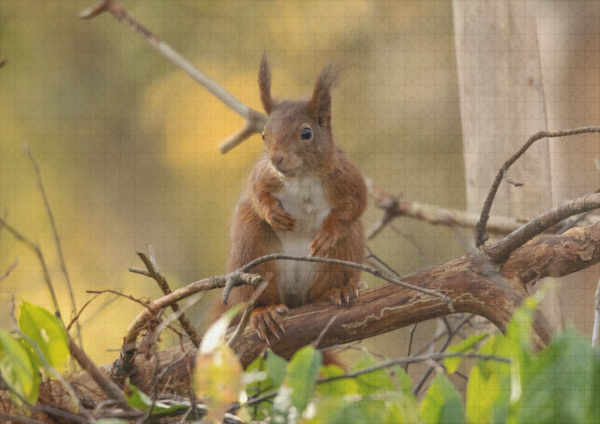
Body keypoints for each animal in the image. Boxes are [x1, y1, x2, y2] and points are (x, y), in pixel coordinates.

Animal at [211, 53, 370, 348]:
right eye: (264, 134)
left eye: (306, 133)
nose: (276, 159)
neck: (302, 177)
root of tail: (295, 299)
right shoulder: (263, 175)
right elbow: (255, 192)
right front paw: (273, 214)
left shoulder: (346, 178)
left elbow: (356, 204)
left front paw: (327, 234)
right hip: (253, 251)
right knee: (256, 298)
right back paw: (264, 312)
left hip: (345, 251)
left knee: (326, 283)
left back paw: (341, 289)